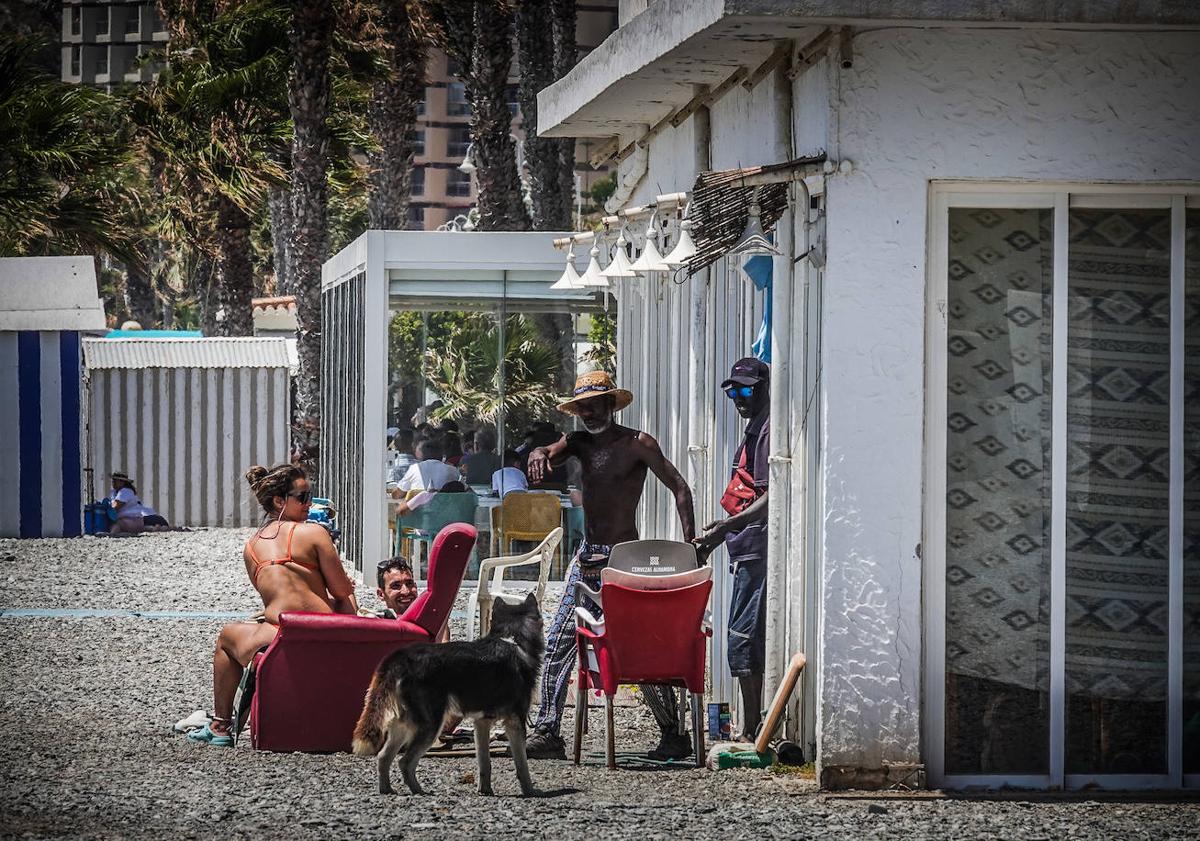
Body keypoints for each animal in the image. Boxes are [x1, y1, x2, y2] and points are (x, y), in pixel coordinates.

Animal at [350, 590, 544, 791]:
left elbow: (484, 763)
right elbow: (522, 765)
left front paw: (485, 791)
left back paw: (387, 790)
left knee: (383, 758)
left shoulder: (482, 722)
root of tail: (401, 656)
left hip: (402, 725)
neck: (512, 641)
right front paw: (530, 791)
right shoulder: (515, 722)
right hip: (431, 725)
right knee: (405, 762)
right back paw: (418, 791)